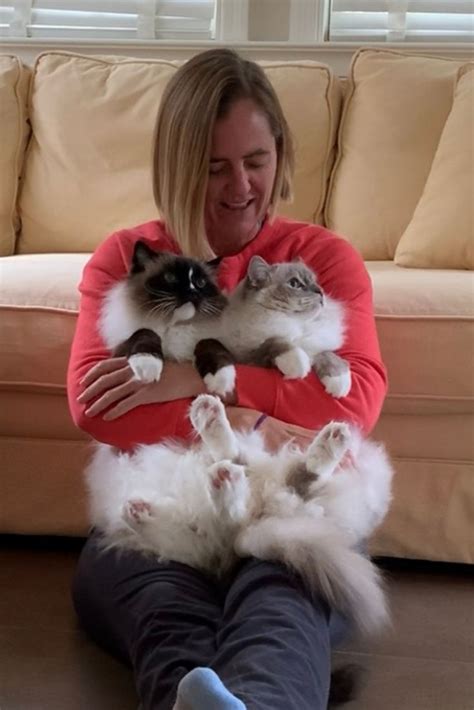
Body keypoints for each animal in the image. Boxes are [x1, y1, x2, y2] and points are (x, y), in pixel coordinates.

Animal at [99, 243, 352, 400]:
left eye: (200, 283)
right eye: (295, 284)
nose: (320, 293)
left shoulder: (316, 344)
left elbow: (329, 356)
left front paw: (339, 384)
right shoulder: (252, 354)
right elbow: (277, 343)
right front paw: (298, 365)